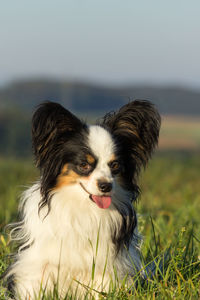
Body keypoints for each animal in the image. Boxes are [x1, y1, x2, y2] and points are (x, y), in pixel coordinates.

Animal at [4, 100, 161, 298]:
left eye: (115, 165)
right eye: (84, 165)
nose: (106, 186)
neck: (85, 207)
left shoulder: (106, 266)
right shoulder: (39, 263)